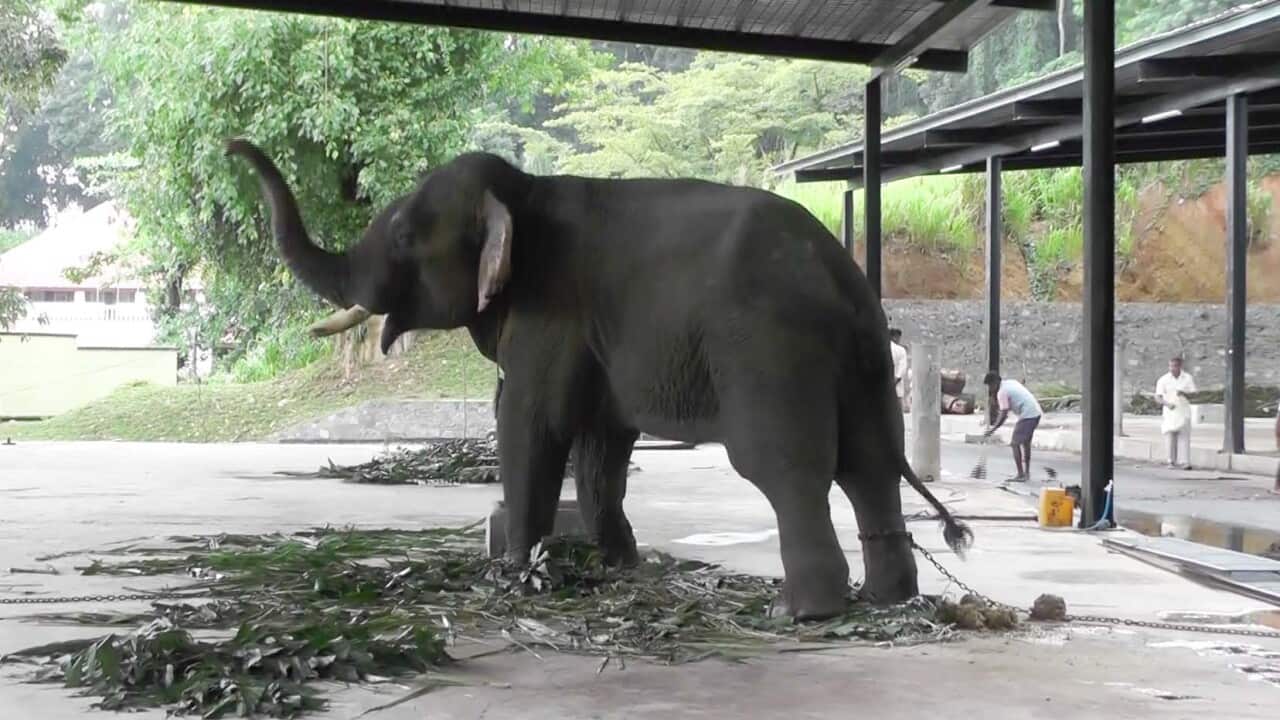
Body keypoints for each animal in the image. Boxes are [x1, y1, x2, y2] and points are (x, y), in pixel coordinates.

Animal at [225, 139, 972, 619]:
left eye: (406, 236)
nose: (233, 147)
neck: (521, 191)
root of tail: (842, 273)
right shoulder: (594, 339)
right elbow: (602, 446)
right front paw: (616, 567)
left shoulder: (550, 314)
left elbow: (529, 424)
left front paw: (511, 577)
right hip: (865, 362)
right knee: (870, 466)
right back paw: (887, 600)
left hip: (770, 352)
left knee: (786, 469)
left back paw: (802, 613)